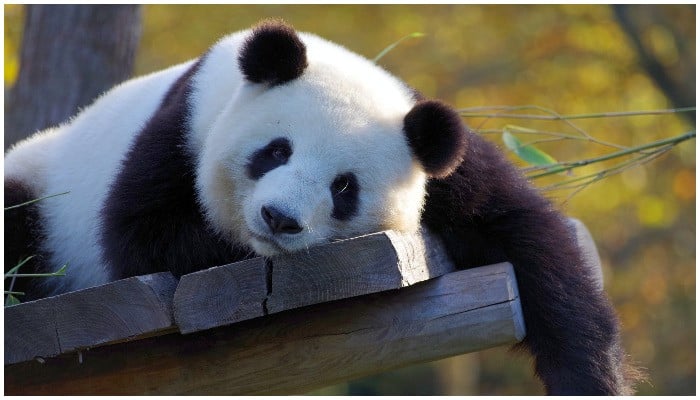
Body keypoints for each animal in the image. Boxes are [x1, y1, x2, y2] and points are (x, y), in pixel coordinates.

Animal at [5, 19, 637, 395]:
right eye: (276, 150)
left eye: (344, 188)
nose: (279, 220)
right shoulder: (184, 124)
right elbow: (142, 233)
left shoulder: (438, 161)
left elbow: (529, 239)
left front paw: (590, 376)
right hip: (42, 186)